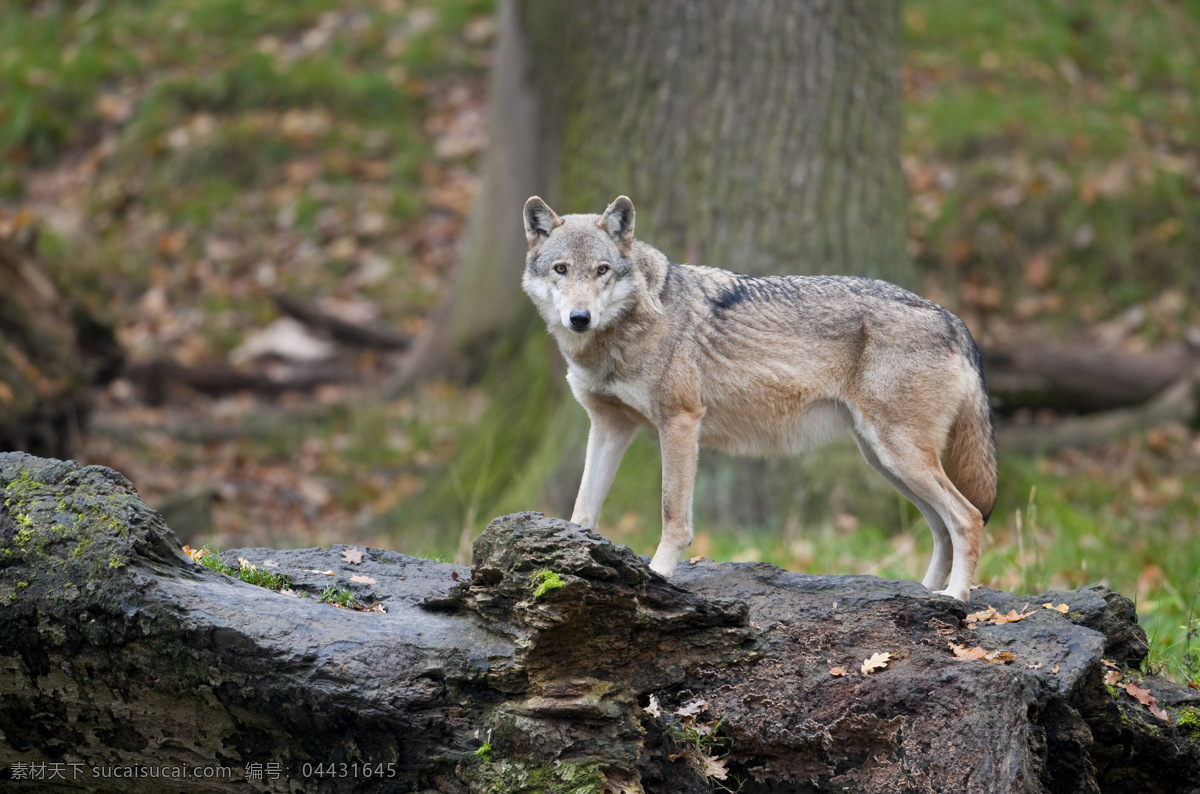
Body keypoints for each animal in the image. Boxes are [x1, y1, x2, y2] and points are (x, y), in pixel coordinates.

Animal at [520, 194, 998, 604]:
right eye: (561, 269)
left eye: (601, 270)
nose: (579, 318)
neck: (623, 332)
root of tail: (952, 318)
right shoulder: (609, 427)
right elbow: (583, 510)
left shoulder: (680, 422)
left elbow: (673, 516)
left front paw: (657, 575)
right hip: (886, 461)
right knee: (941, 527)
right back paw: (925, 594)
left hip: (900, 456)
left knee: (967, 517)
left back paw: (955, 598)